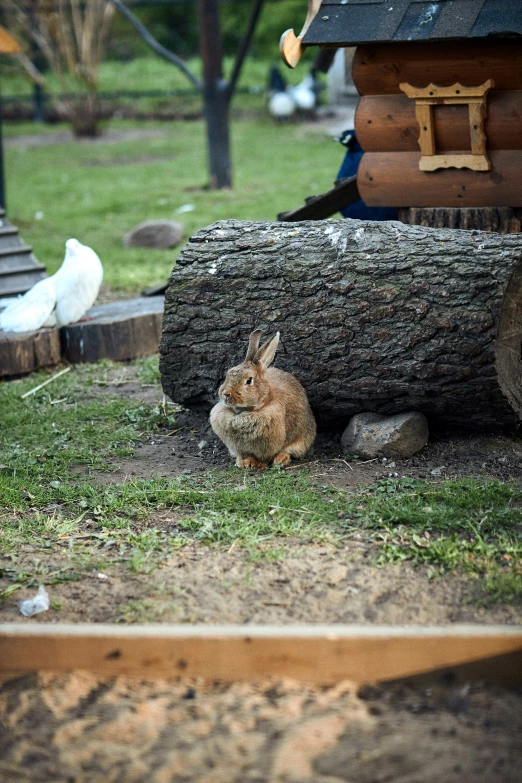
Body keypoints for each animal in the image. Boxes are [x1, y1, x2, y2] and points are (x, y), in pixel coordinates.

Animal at [209, 330, 314, 468]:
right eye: (229, 373)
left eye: (249, 380)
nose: (225, 394)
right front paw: (242, 462)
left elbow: (266, 457)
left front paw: (259, 465)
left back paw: (281, 459)